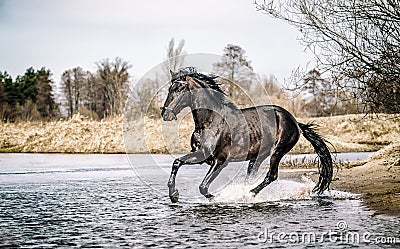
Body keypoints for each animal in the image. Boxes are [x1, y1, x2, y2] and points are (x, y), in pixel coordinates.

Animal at [161, 66, 332, 202]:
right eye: (170, 89)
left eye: (179, 89)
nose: (165, 114)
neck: (210, 121)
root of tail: (296, 123)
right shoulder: (201, 155)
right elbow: (177, 162)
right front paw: (174, 195)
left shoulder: (220, 160)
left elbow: (203, 187)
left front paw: (218, 197)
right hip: (257, 157)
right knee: (252, 177)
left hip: (277, 152)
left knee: (271, 176)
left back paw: (247, 194)